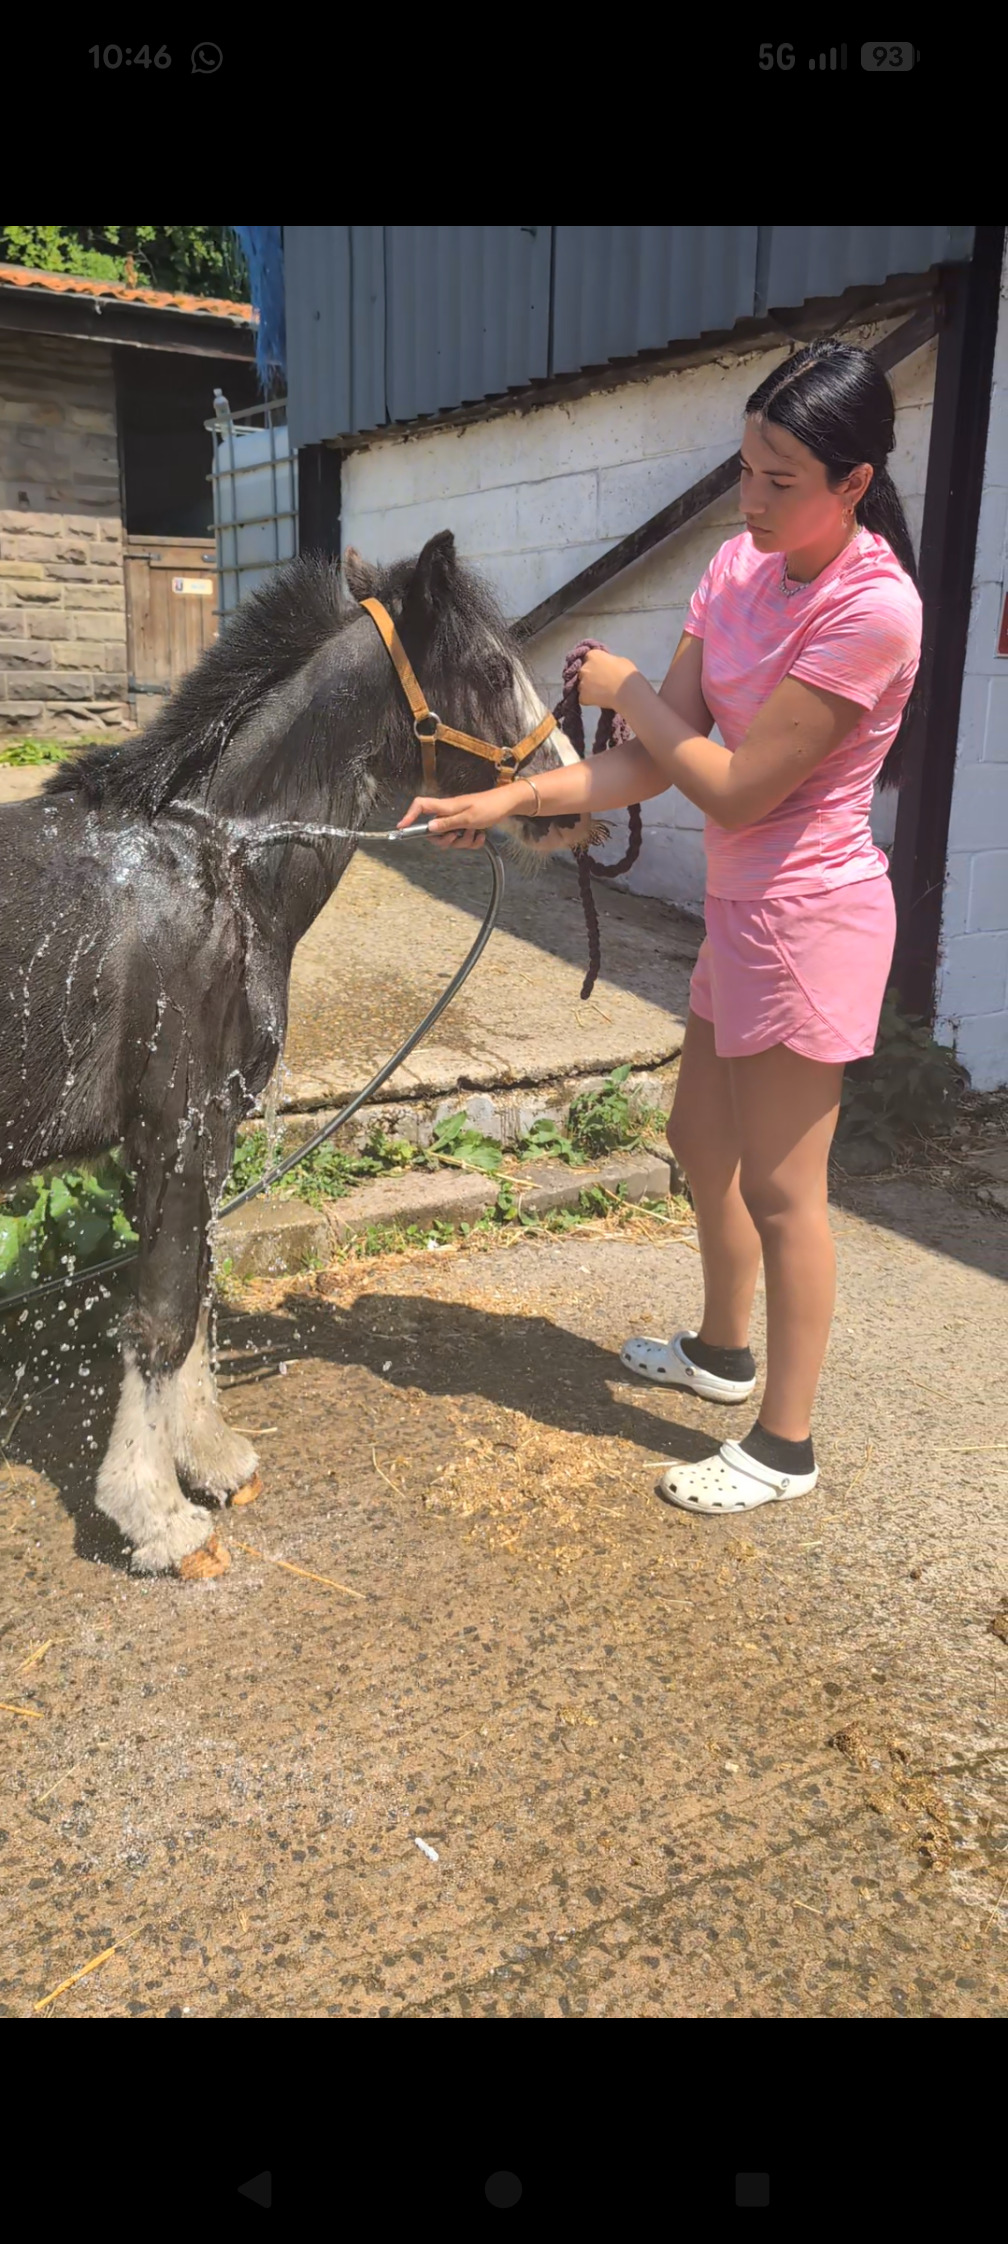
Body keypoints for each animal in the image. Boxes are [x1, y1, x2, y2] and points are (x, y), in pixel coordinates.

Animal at [0, 530, 591, 1575]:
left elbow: (195, 1291)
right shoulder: (181, 1127)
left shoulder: (198, 1138)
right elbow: (162, 1315)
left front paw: (209, 1458)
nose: (567, 801)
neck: (214, 866)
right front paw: (155, 1516)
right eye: (491, 670)